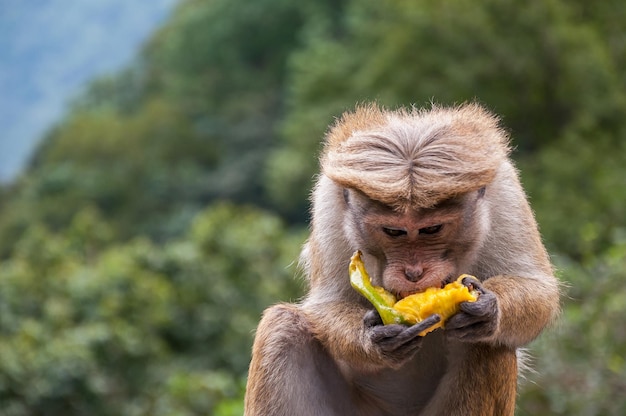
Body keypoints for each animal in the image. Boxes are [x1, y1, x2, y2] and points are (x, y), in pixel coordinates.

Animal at [241, 104, 560, 416]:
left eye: (431, 229)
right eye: (393, 231)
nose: (414, 272)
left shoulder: (505, 189)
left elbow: (537, 287)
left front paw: (487, 309)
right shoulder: (329, 200)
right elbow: (327, 303)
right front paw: (375, 338)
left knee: (485, 344)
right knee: (283, 327)